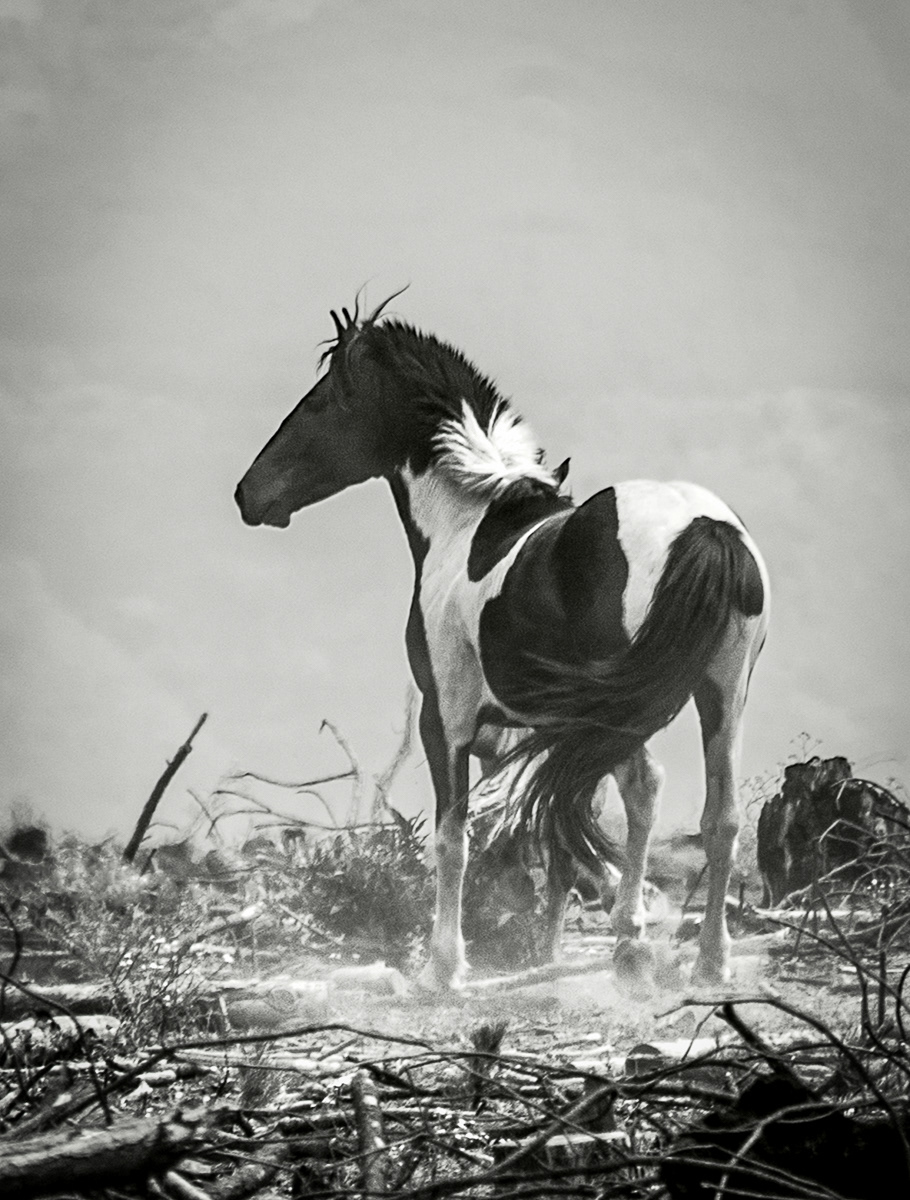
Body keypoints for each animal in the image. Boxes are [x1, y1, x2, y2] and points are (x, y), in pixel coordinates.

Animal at [235, 293, 770, 989]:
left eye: (322, 402)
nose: (248, 493)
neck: (469, 522)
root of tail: (706, 528)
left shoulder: (449, 719)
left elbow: (456, 836)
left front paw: (444, 968)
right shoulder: (528, 729)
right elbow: (549, 833)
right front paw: (549, 947)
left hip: (629, 708)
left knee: (645, 788)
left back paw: (634, 945)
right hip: (720, 696)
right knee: (718, 817)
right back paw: (704, 960)